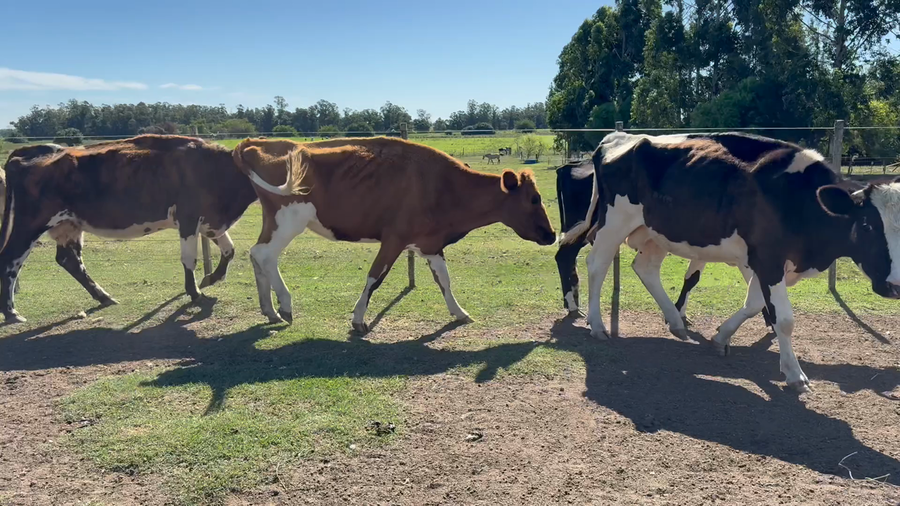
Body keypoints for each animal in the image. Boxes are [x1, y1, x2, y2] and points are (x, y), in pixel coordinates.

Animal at [0, 134, 260, 324]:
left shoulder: (210, 222)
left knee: (69, 260)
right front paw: (195, 293)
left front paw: (212, 278)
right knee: (10, 259)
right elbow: (189, 259)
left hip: (68, 224)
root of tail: (33, 150)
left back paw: (104, 297)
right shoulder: (189, 218)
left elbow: (229, 250)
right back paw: (11, 312)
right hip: (30, 224)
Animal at [231, 136, 557, 332]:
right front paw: (358, 319)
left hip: (275, 221)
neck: (444, 186)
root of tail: (256, 142)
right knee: (264, 255)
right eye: (534, 199)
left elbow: (444, 281)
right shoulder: (394, 239)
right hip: (289, 219)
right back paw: (284, 306)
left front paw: (460, 312)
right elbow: (375, 277)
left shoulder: (430, 244)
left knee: (256, 255)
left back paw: (269, 310)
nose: (552, 234)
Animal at [560, 131, 900, 392]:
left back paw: (675, 322)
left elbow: (754, 303)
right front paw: (794, 373)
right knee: (597, 264)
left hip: (655, 231)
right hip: (614, 222)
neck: (799, 199)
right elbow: (784, 319)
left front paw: (721, 336)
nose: (895, 286)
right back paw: (597, 325)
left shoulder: (763, 263)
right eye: (867, 225)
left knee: (645, 268)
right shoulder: (768, 259)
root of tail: (618, 137)